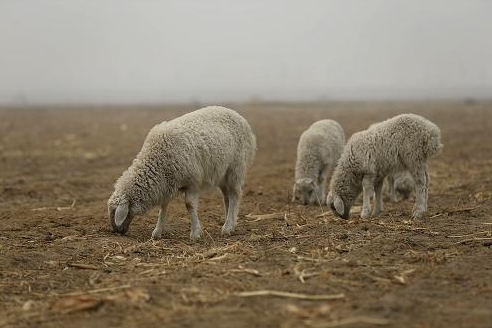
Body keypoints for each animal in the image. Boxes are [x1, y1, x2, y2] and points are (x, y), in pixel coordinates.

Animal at [108, 106, 258, 240]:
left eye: (116, 212)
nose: (118, 232)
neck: (157, 160)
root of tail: (238, 116)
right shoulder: (167, 183)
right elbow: (163, 206)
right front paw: (157, 232)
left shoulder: (193, 182)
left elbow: (189, 205)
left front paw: (195, 233)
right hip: (222, 172)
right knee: (227, 197)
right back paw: (231, 223)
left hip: (236, 167)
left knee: (235, 194)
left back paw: (227, 227)